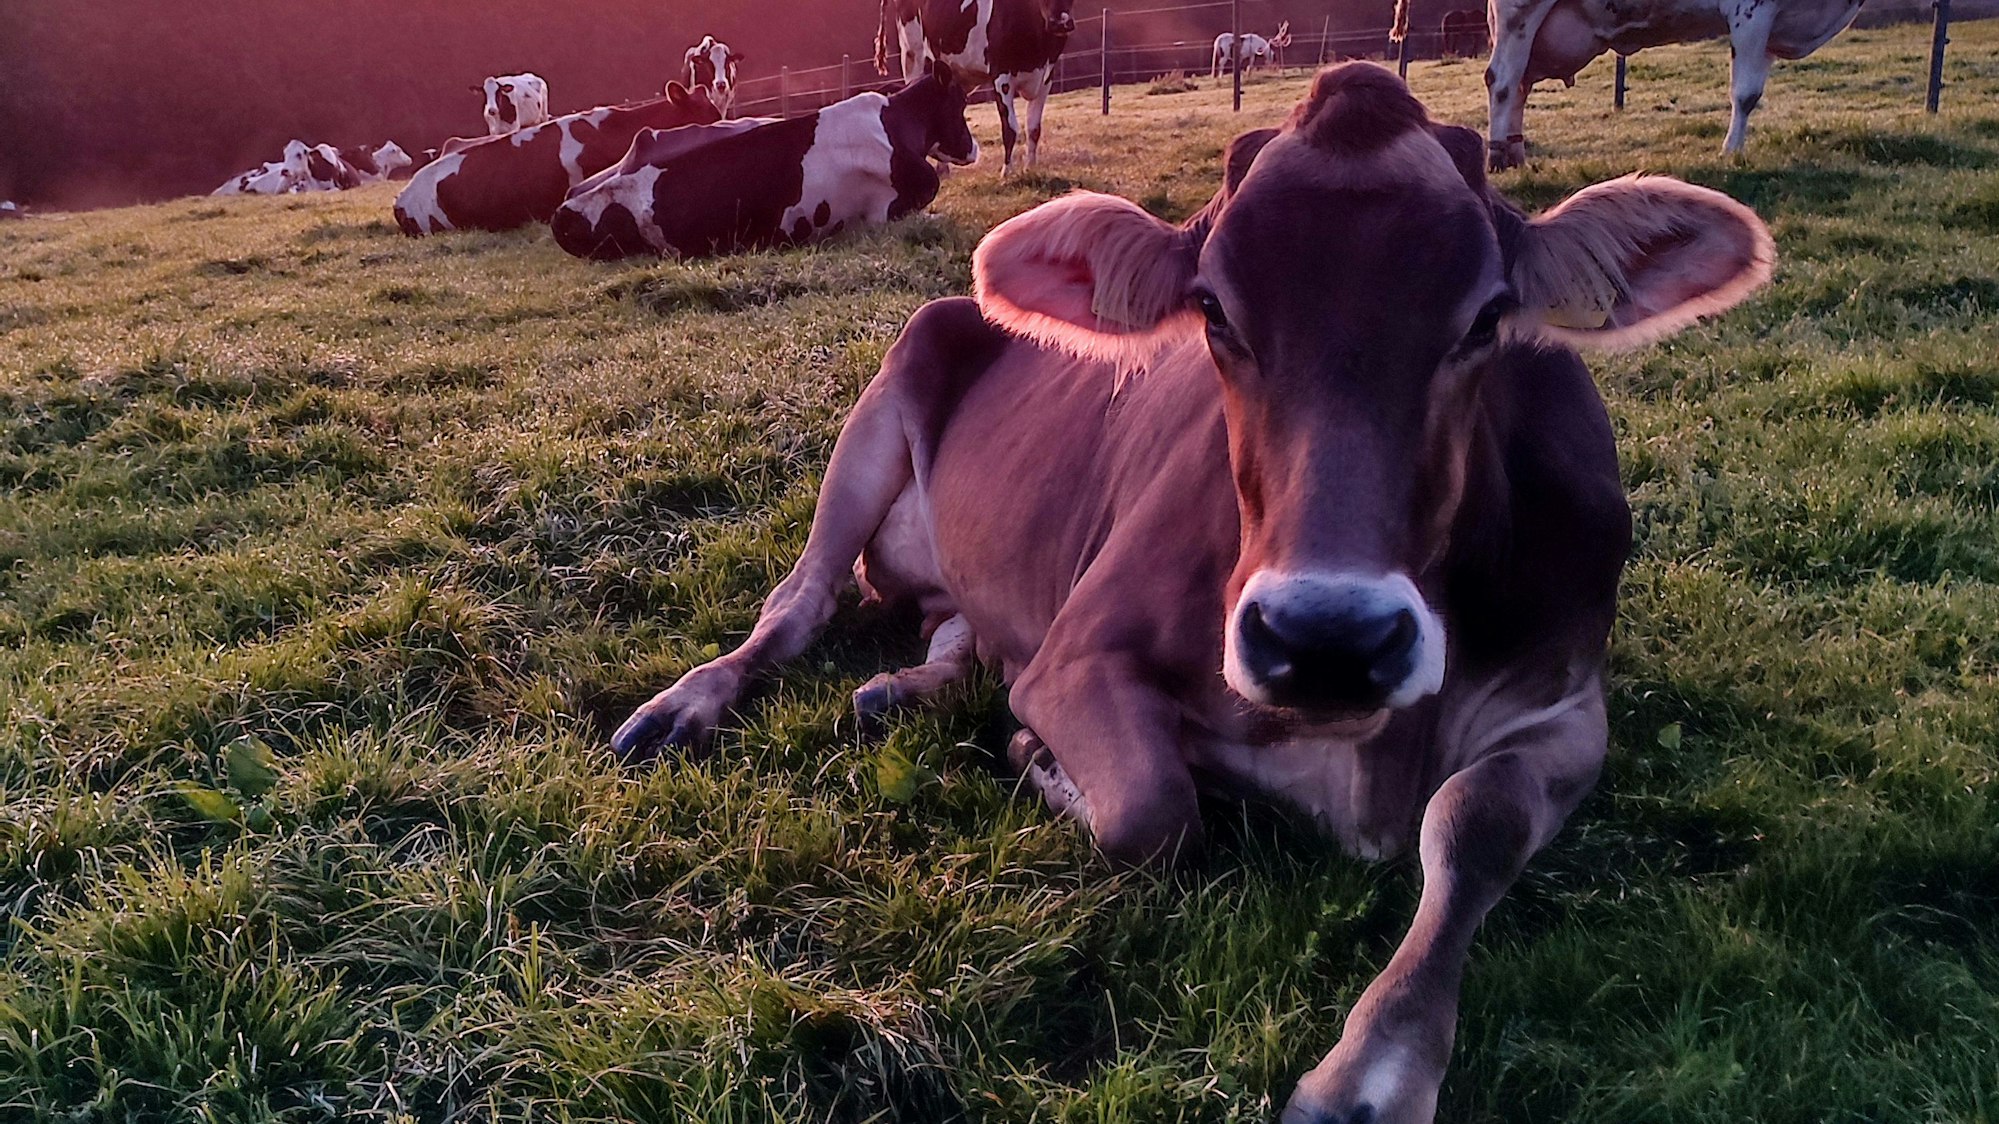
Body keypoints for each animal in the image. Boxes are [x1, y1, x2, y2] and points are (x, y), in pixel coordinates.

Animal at [610, 62, 1774, 1124]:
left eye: (1487, 317)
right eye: (1213, 310)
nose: (1328, 637)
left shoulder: (1569, 701)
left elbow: (1472, 821)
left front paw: (1373, 1070)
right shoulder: (1080, 652)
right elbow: (1154, 811)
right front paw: (1046, 759)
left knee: (957, 632)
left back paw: (901, 690)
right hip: (881, 409)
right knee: (796, 605)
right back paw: (682, 708)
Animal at [877, 0, 1077, 176]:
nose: (1060, 23)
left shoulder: (1046, 78)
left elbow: (1034, 128)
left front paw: (1031, 168)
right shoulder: (1001, 76)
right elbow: (1010, 128)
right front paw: (1007, 172)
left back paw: (943, 169)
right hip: (912, 54)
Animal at [1458, 0, 1863, 168]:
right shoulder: (1751, 10)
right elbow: (1745, 94)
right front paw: (1731, 152)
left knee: (1519, 85)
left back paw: (1515, 153)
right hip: (1519, 13)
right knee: (1502, 80)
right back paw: (1498, 156)